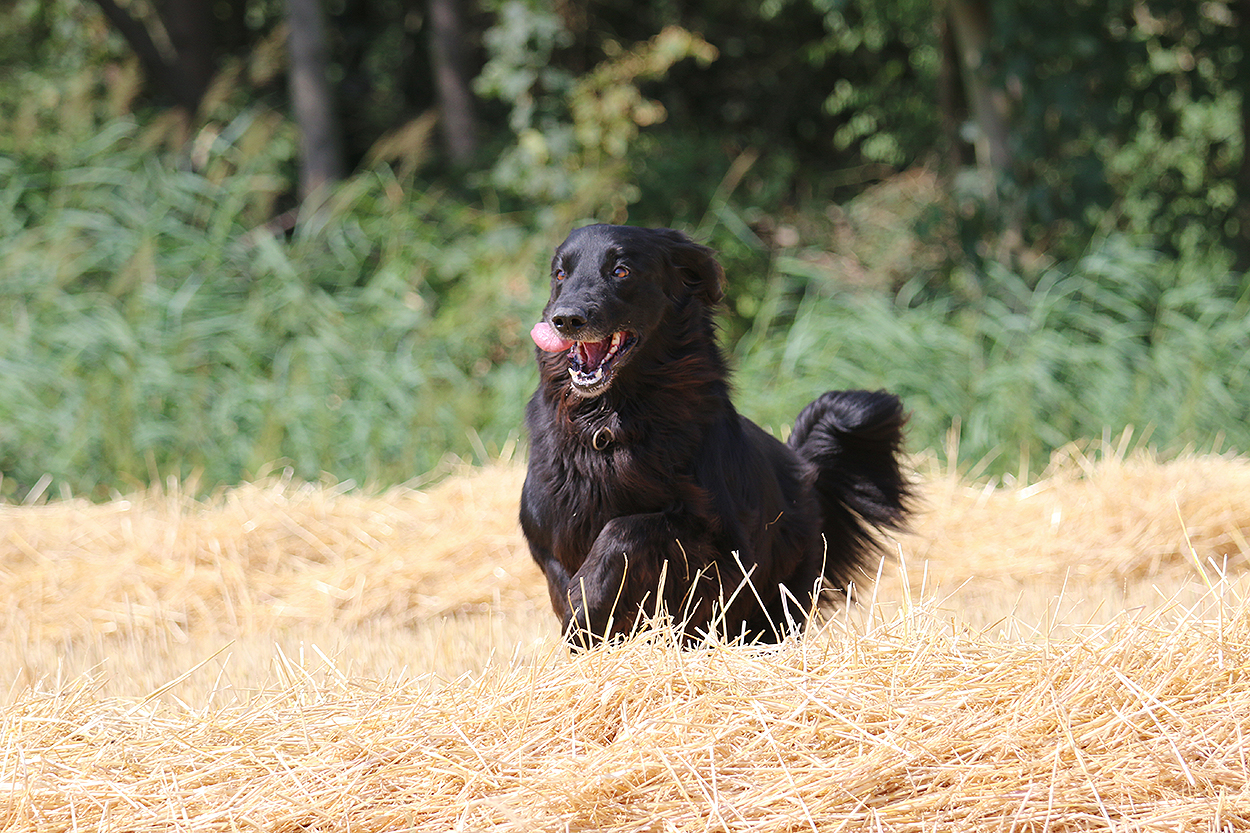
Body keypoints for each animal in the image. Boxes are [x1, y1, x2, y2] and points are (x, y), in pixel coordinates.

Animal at [520, 224, 909, 646]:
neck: (608, 424)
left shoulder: (721, 544)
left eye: (621, 271)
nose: (565, 319)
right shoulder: (547, 535)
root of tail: (805, 467)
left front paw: (586, 600)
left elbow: (628, 528)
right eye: (561, 274)